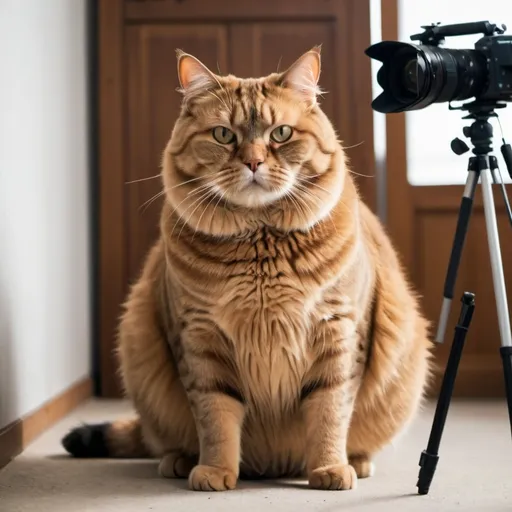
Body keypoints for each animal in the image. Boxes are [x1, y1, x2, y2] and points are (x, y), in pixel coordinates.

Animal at [62, 46, 434, 490]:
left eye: (281, 134)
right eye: (224, 135)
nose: (254, 162)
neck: (261, 250)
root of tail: (273, 466)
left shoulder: (339, 331)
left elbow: (329, 411)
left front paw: (329, 468)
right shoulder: (200, 338)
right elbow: (216, 417)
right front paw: (216, 471)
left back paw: (355, 462)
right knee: (164, 439)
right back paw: (180, 461)